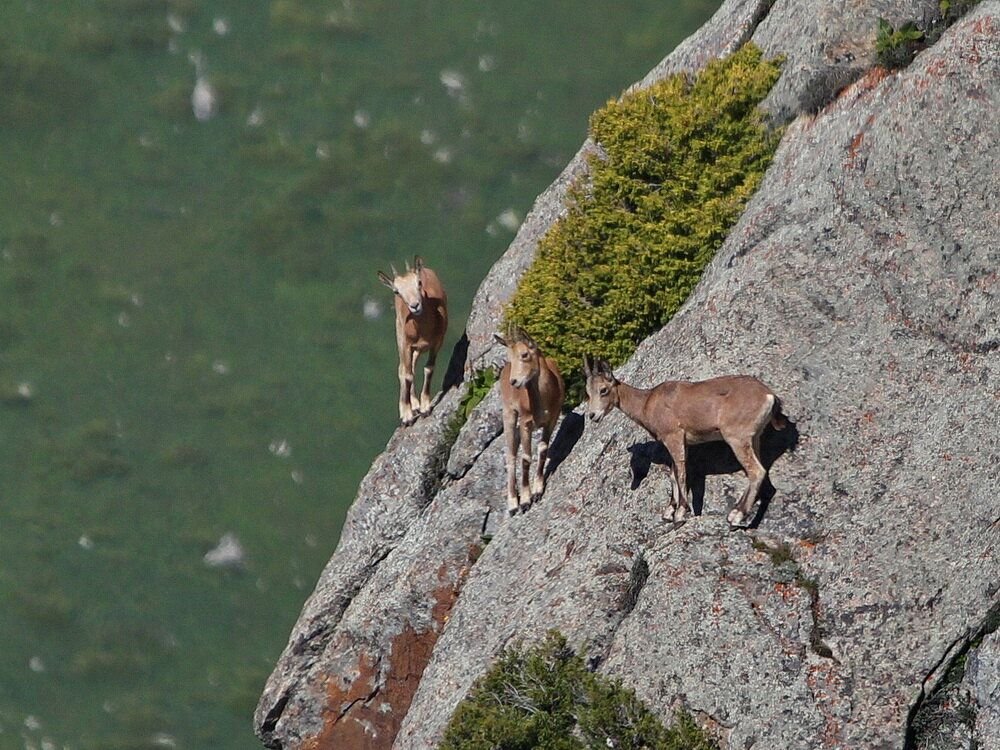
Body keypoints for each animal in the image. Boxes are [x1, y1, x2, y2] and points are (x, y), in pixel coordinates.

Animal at [378, 258, 450, 424]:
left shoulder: (437, 342)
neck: (423, 330)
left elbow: (429, 368)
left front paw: (425, 408)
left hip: (418, 349)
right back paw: (408, 408)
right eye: (396, 291)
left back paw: (416, 405)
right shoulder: (406, 345)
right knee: (403, 369)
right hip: (400, 336)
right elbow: (408, 375)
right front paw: (407, 416)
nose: (414, 306)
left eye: (419, 282)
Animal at [492, 328, 564, 516]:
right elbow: (525, 458)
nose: (514, 382)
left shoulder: (552, 418)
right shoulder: (526, 422)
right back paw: (512, 504)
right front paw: (525, 500)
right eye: (511, 357)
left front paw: (538, 491)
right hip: (509, 415)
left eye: (524, 354)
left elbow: (543, 449)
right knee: (511, 455)